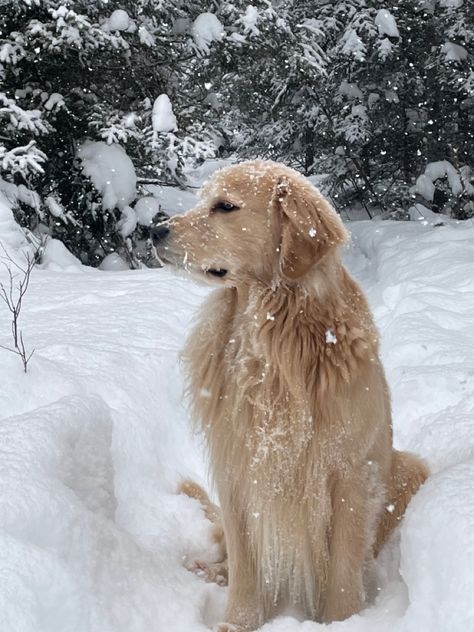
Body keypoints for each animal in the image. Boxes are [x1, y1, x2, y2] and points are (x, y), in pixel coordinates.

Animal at [153, 160, 430, 628]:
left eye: (225, 206)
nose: (153, 231)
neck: (273, 337)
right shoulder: (237, 470)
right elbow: (246, 564)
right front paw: (237, 622)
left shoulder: (349, 472)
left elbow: (342, 571)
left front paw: (342, 622)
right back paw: (211, 570)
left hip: (409, 467)